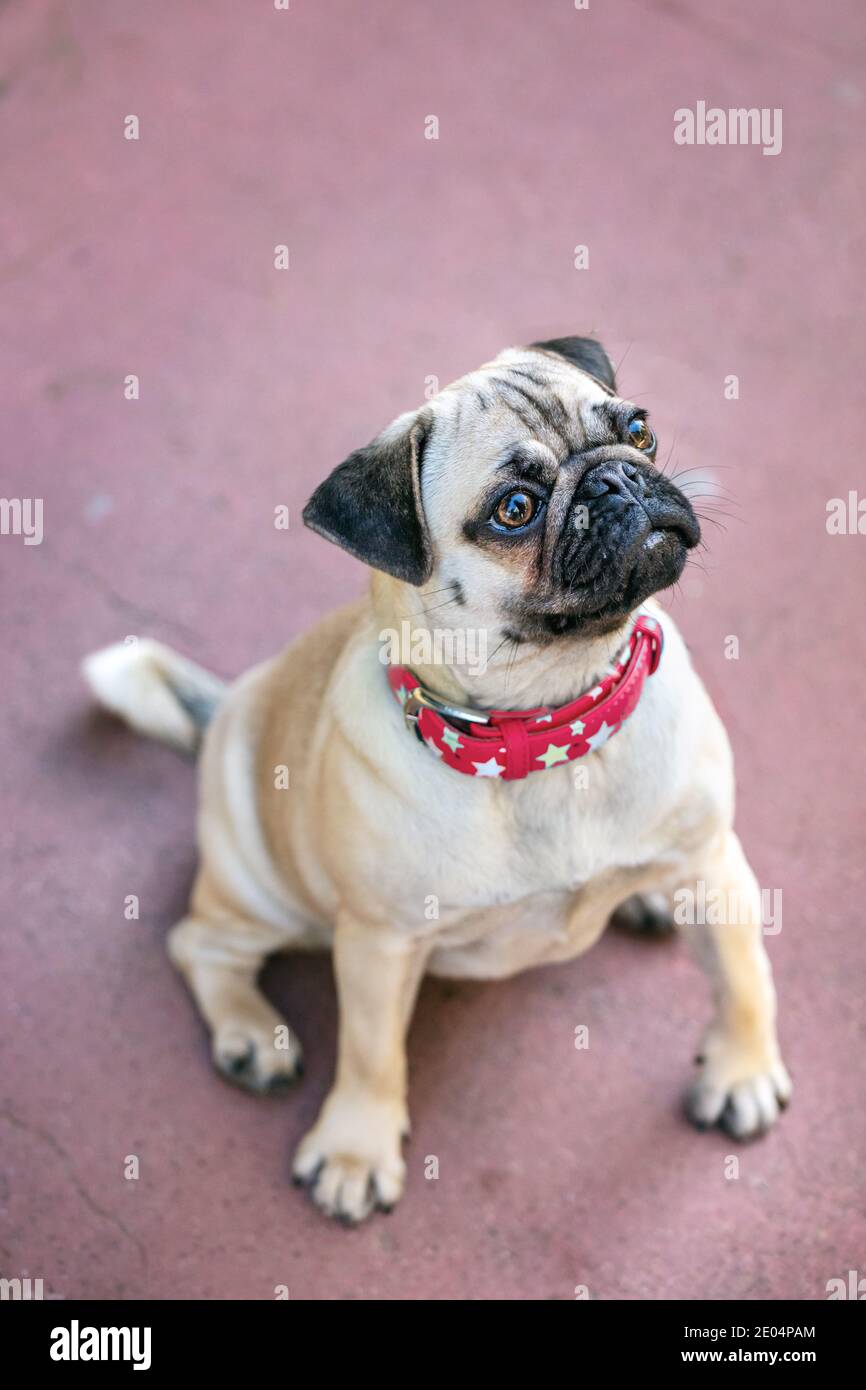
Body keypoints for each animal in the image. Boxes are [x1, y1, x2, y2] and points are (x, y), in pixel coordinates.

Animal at [83, 339, 795, 1228]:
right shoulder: (379, 944)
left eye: (639, 430)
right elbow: (371, 1053)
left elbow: (742, 980)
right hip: (260, 887)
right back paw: (252, 1036)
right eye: (515, 509)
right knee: (199, 943)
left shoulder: (711, 864)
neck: (550, 732)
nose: (617, 479)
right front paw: (355, 1149)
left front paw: (740, 1072)